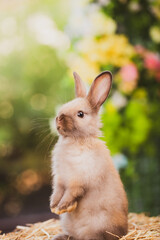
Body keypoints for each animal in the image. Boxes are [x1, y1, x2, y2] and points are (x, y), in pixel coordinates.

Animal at [49, 70, 128, 239]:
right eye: (64, 107)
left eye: (80, 114)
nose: (59, 118)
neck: (76, 140)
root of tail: (123, 232)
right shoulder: (60, 179)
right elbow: (57, 191)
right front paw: (53, 205)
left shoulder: (78, 181)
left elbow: (71, 193)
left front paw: (62, 205)